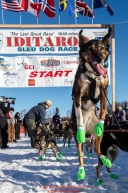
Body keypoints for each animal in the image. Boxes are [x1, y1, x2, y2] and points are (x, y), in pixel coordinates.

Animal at [71, 26, 112, 180]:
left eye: (102, 48)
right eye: (90, 49)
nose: (100, 58)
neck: (93, 77)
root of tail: (90, 130)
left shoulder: (104, 91)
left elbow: (103, 111)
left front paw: (101, 121)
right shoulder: (77, 95)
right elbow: (78, 113)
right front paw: (81, 126)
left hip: (100, 135)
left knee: (97, 148)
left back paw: (105, 159)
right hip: (78, 139)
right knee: (81, 155)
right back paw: (81, 170)